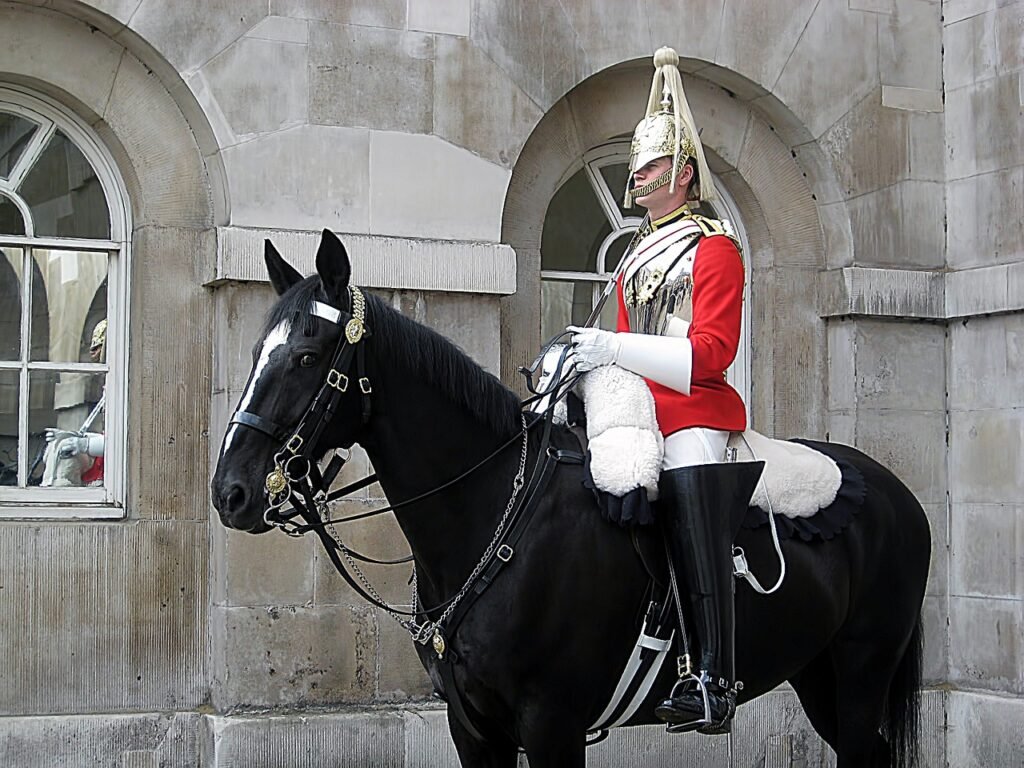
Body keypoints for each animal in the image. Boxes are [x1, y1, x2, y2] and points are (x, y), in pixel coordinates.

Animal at [211, 230, 933, 768]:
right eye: (256, 352)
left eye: (307, 356)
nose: (230, 493)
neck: (492, 516)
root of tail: (893, 488)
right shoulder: (474, 727)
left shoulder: (551, 723)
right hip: (816, 672)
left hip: (862, 668)